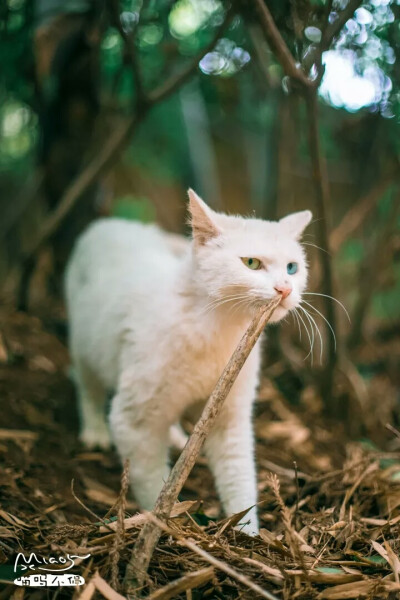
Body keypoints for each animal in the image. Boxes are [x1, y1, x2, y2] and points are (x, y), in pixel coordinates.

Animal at [65, 189, 312, 536]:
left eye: (292, 268)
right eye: (251, 263)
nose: (285, 288)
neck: (219, 330)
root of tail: (109, 223)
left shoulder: (230, 419)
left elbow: (239, 480)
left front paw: (247, 534)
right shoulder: (132, 421)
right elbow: (153, 485)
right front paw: (162, 526)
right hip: (85, 345)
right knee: (88, 385)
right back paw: (95, 431)